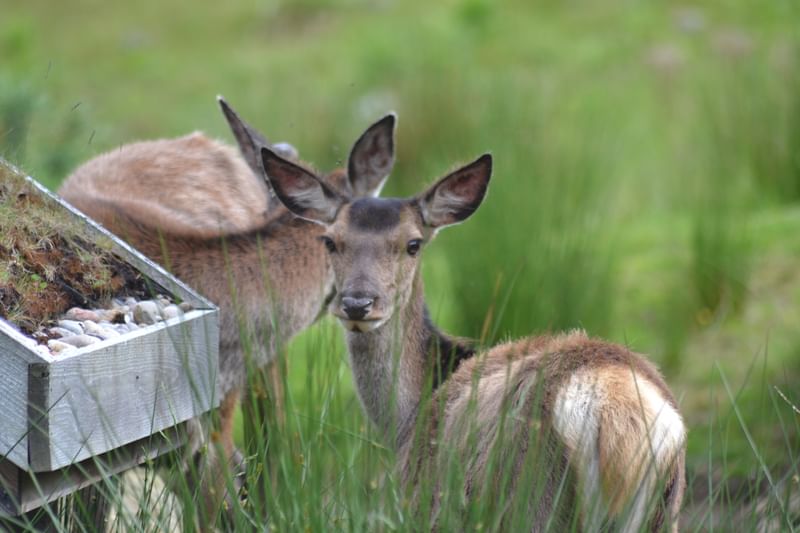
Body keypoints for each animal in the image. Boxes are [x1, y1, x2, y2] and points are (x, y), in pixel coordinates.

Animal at [260, 147, 688, 532]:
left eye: (413, 244)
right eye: (330, 241)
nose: (357, 303)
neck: (404, 422)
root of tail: (613, 408)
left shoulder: (421, 500)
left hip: (529, 496)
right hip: (662, 509)